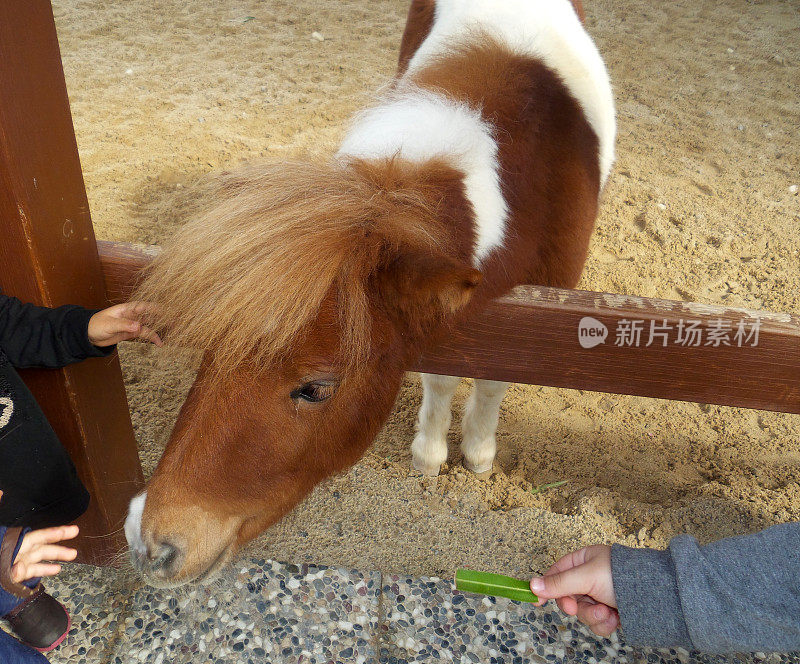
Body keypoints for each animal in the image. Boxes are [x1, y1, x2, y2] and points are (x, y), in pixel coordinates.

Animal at [125, 0, 616, 584]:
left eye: (316, 388)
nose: (153, 545)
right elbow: (440, 375)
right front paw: (430, 455)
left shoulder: (546, 307)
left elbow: (494, 380)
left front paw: (476, 454)